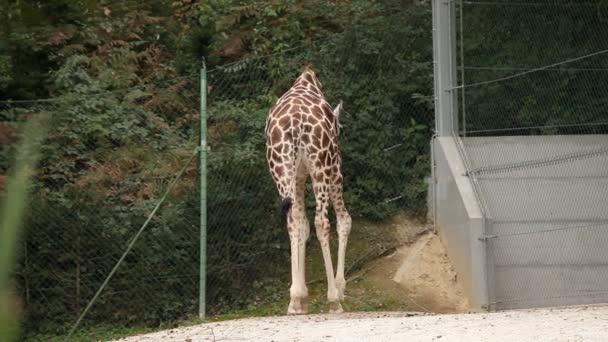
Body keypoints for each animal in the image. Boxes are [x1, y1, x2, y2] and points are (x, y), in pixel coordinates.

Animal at [264, 64, 352, 316]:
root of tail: (295, 123)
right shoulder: (334, 171)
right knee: (322, 222)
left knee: (292, 221)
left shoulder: (298, 177)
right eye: (340, 129)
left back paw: (294, 301)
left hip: (281, 168)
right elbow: (345, 221)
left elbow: (301, 226)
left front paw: (300, 296)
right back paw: (334, 300)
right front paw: (340, 288)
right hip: (321, 167)